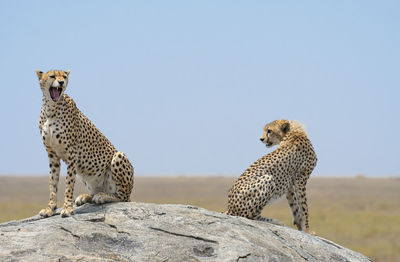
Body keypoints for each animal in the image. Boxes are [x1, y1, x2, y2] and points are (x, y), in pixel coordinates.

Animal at [35, 69, 134, 217]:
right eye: (52, 76)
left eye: (64, 76)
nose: (61, 82)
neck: (51, 109)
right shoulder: (51, 154)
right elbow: (53, 183)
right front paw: (50, 208)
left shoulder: (72, 152)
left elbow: (69, 182)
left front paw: (67, 208)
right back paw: (86, 197)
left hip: (119, 157)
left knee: (123, 197)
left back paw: (102, 196)